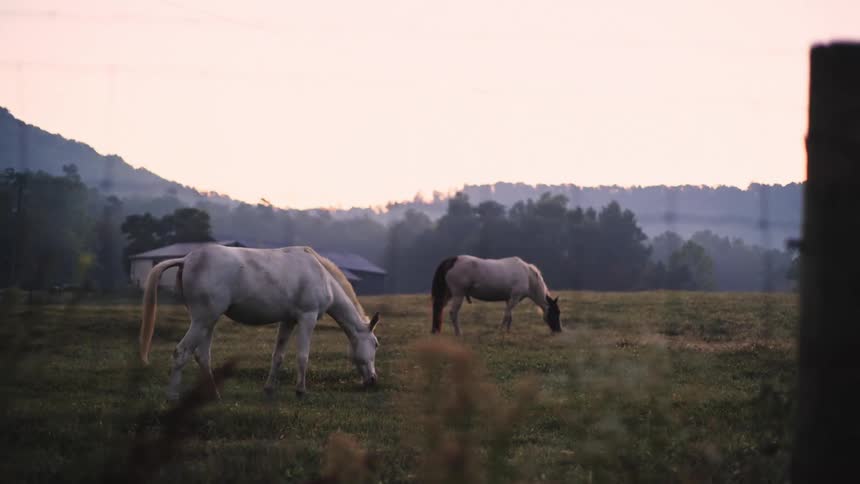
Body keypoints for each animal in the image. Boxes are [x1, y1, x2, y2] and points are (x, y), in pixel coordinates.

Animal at [139, 245, 381, 400]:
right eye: (376, 344)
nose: (373, 381)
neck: (322, 276)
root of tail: (186, 259)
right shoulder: (307, 318)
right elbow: (303, 356)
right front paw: (301, 391)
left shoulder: (288, 321)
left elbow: (278, 356)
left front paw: (269, 389)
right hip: (202, 320)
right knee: (181, 352)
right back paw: (172, 396)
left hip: (208, 322)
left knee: (202, 356)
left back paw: (213, 394)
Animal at [430, 255, 562, 335]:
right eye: (556, 313)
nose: (558, 330)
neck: (528, 276)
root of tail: (452, 260)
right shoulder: (514, 298)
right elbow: (506, 316)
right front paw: (500, 332)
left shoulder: (509, 299)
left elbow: (510, 317)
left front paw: (507, 333)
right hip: (458, 294)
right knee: (453, 313)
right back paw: (459, 334)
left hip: (448, 295)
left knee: (439, 310)